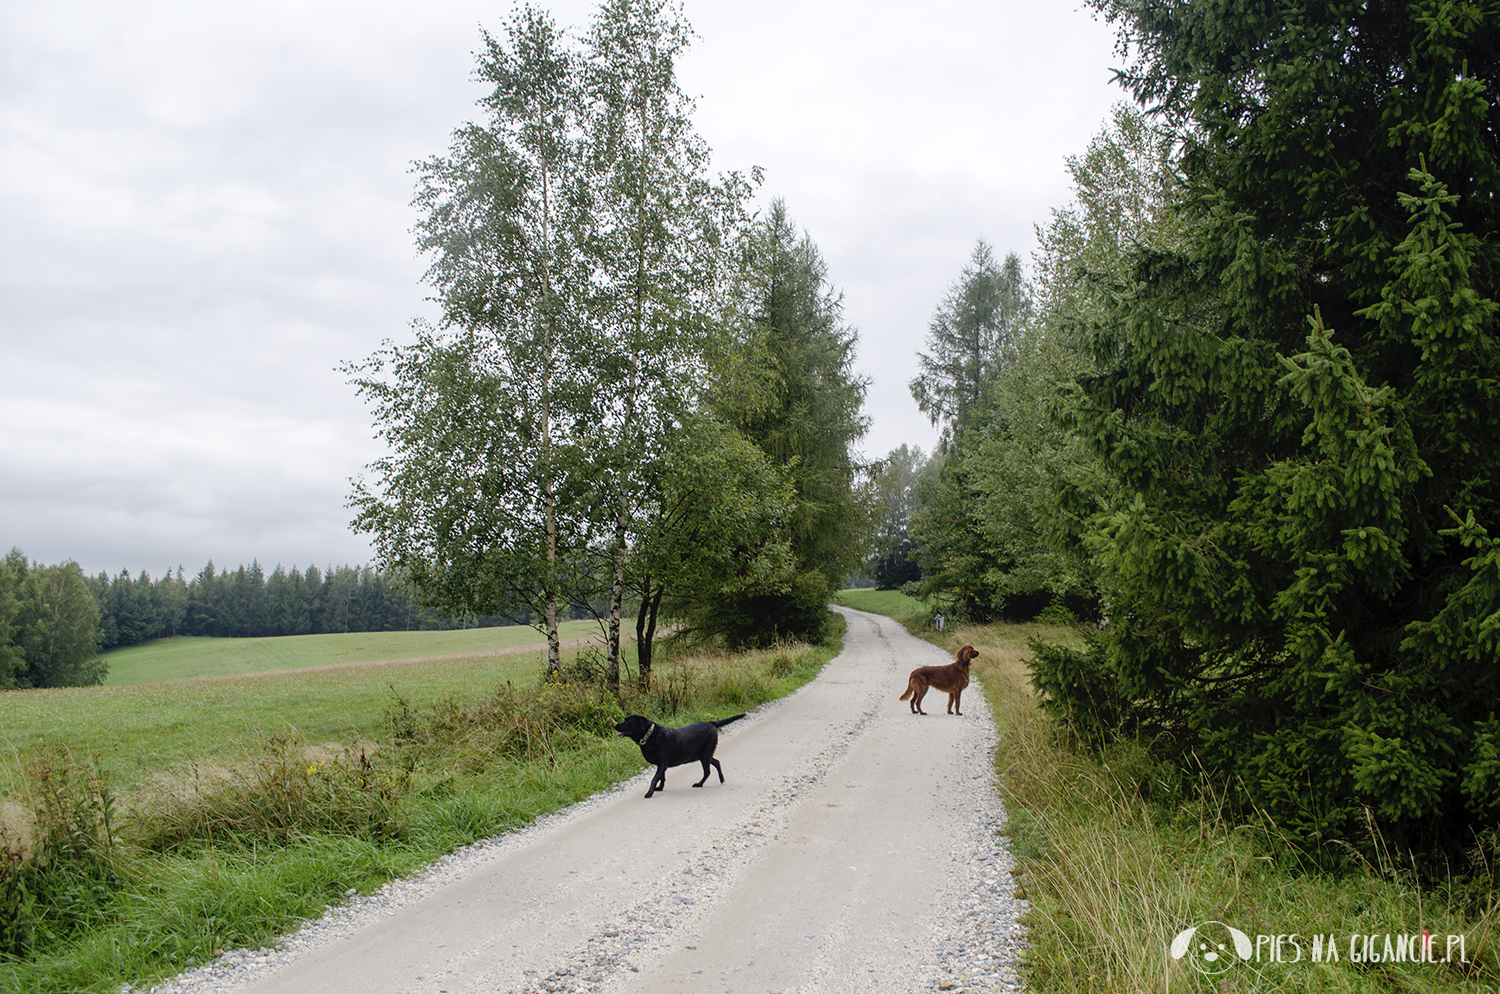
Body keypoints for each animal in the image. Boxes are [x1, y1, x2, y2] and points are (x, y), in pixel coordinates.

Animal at [615, 716, 744, 803]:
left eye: (627, 721)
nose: (615, 725)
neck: (649, 736)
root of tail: (711, 723)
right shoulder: (661, 765)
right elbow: (662, 777)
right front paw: (660, 788)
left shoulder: (662, 763)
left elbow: (654, 779)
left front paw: (649, 793)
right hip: (703, 755)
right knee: (717, 762)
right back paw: (721, 779)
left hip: (704, 756)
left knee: (707, 771)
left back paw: (699, 784)